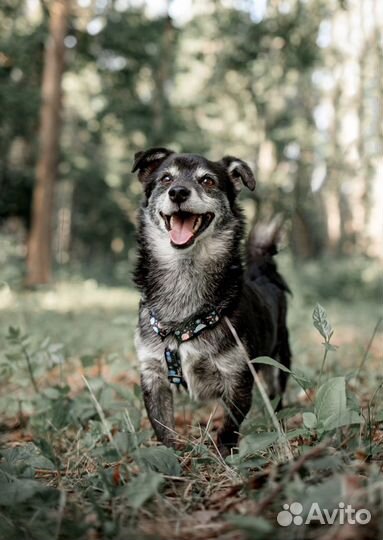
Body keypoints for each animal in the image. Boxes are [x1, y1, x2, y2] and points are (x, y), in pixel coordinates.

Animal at [132, 148, 292, 456]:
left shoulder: (237, 378)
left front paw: (224, 455)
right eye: (166, 178)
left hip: (279, 360)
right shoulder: (153, 375)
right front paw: (171, 458)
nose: (177, 192)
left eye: (207, 181)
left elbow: (228, 427)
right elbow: (163, 427)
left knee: (277, 395)